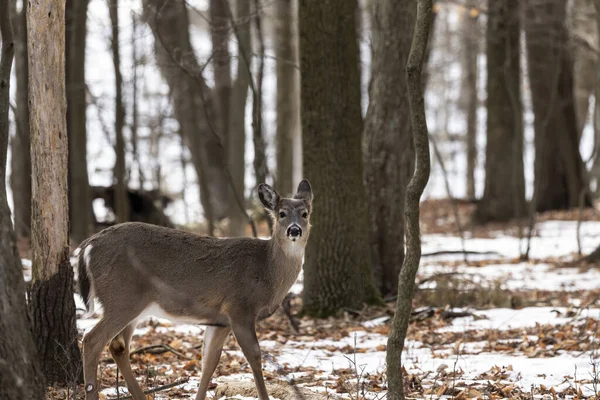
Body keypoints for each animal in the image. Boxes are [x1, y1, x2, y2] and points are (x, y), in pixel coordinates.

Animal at [75, 180, 314, 400]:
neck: (267, 271)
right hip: (122, 298)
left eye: (305, 213)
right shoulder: (240, 308)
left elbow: (209, 362)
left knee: (118, 346)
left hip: (133, 305)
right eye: (281, 213)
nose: (294, 229)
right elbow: (255, 357)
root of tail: (87, 245)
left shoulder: (220, 321)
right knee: (92, 340)